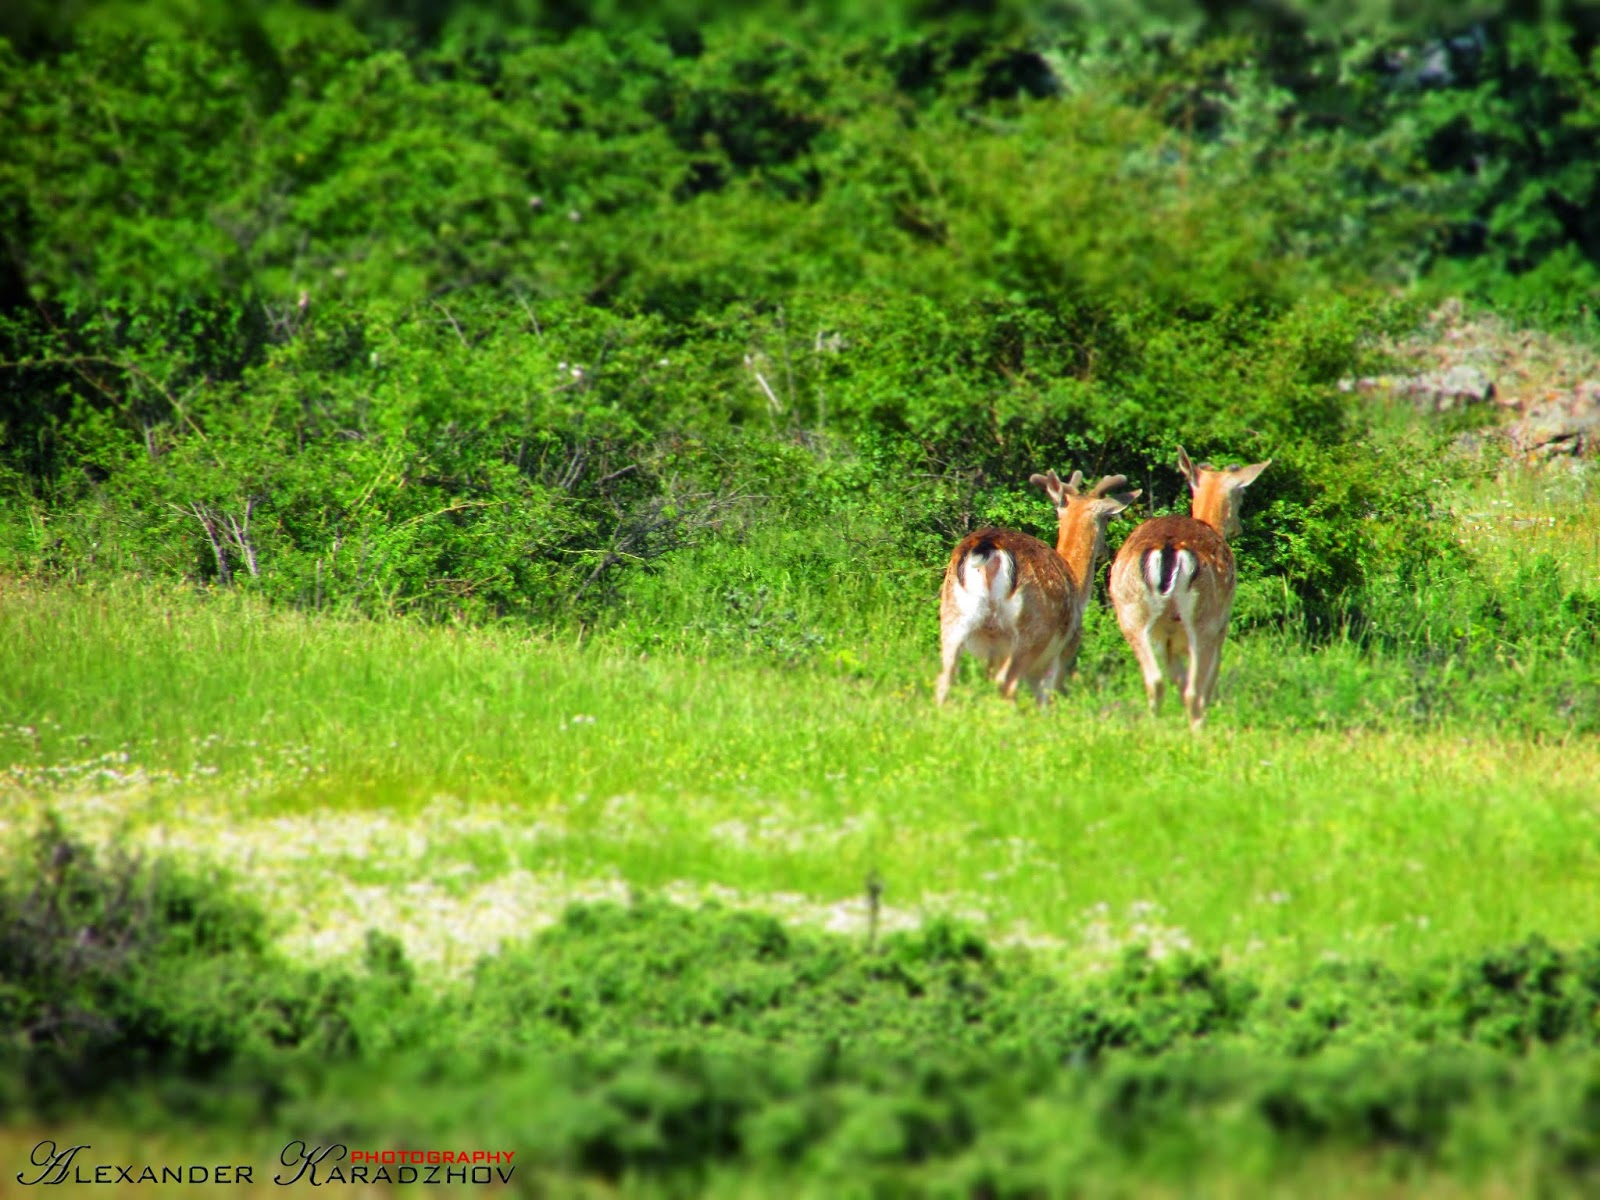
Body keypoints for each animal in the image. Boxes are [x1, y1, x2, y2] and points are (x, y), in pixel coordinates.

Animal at [934, 470, 1145, 710]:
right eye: (1107, 518)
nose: (1106, 550)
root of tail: (987, 550)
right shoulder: (1065, 648)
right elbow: (1046, 697)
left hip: (953, 615)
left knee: (945, 678)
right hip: (1030, 630)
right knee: (1007, 682)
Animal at [1107, 448, 1267, 732]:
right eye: (1241, 494)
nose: (1239, 526)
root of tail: (1169, 548)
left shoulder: (1168, 640)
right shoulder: (1221, 626)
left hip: (1130, 613)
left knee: (1155, 680)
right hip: (1203, 617)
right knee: (1193, 689)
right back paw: (1198, 729)